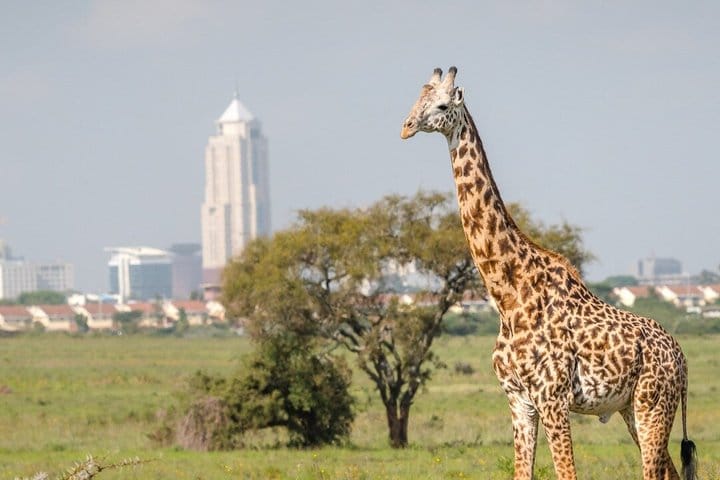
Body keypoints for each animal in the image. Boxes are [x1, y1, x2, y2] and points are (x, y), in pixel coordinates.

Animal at [400, 66, 698, 480]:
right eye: (417, 100)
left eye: (442, 105)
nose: (406, 127)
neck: (508, 297)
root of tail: (682, 359)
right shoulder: (518, 399)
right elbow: (521, 472)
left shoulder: (552, 398)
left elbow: (566, 472)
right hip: (632, 408)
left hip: (653, 403)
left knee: (655, 471)